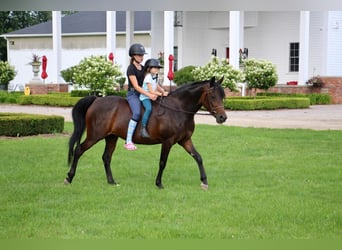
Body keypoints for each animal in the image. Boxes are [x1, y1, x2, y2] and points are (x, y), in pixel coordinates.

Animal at [66, 77, 227, 188]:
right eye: (213, 96)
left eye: (223, 96)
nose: (223, 117)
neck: (179, 109)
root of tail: (96, 100)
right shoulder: (168, 142)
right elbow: (162, 162)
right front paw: (159, 183)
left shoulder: (185, 140)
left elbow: (198, 157)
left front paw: (204, 182)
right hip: (95, 136)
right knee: (79, 150)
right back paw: (69, 178)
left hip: (111, 137)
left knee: (106, 157)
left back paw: (111, 181)